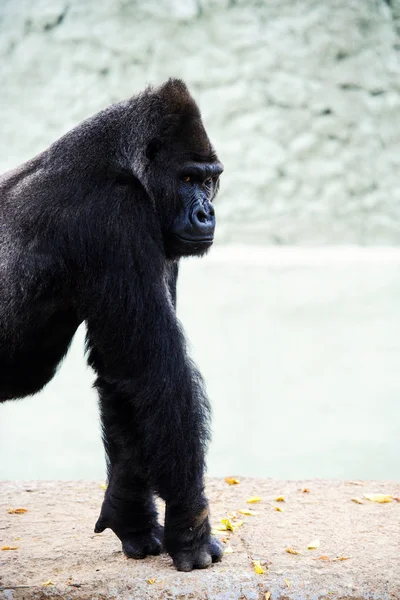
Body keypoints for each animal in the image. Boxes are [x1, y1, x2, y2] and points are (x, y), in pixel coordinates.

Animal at [0, 79, 225, 572]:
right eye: (187, 179)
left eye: (210, 180)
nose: (207, 215)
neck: (121, 159)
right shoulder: (117, 214)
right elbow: (154, 373)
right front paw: (191, 524)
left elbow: (123, 379)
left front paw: (130, 514)